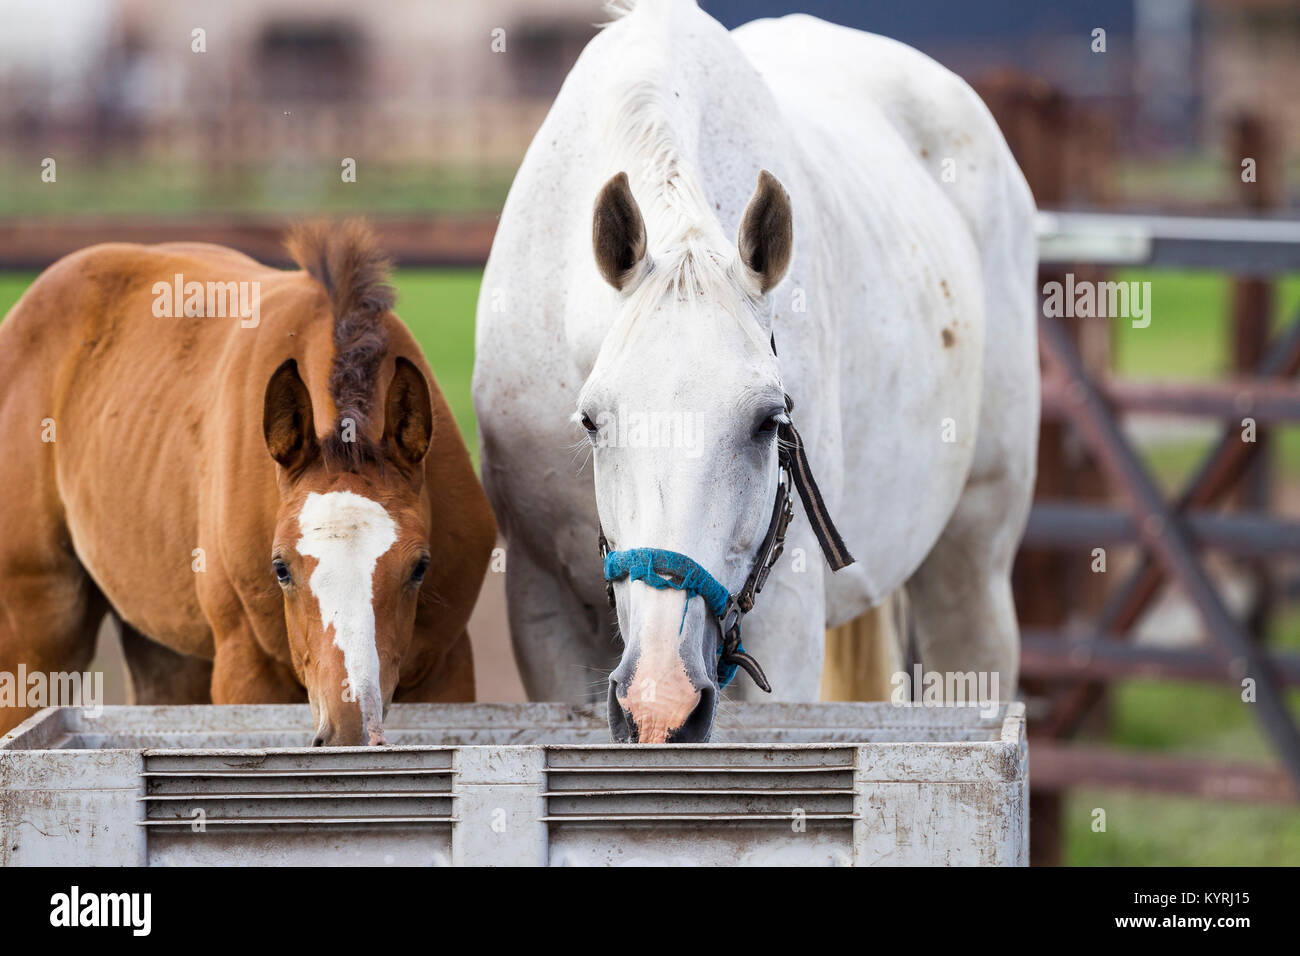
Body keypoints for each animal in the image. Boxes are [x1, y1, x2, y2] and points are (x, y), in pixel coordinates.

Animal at [0, 221, 496, 745]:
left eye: (420, 567)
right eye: (280, 568)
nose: (348, 736)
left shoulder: (448, 665)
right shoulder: (246, 671)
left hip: (167, 648)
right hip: (35, 636)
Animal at [473, 0, 1038, 742]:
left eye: (769, 423)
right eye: (591, 421)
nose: (660, 699)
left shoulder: (786, 627)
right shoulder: (544, 608)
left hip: (975, 568)